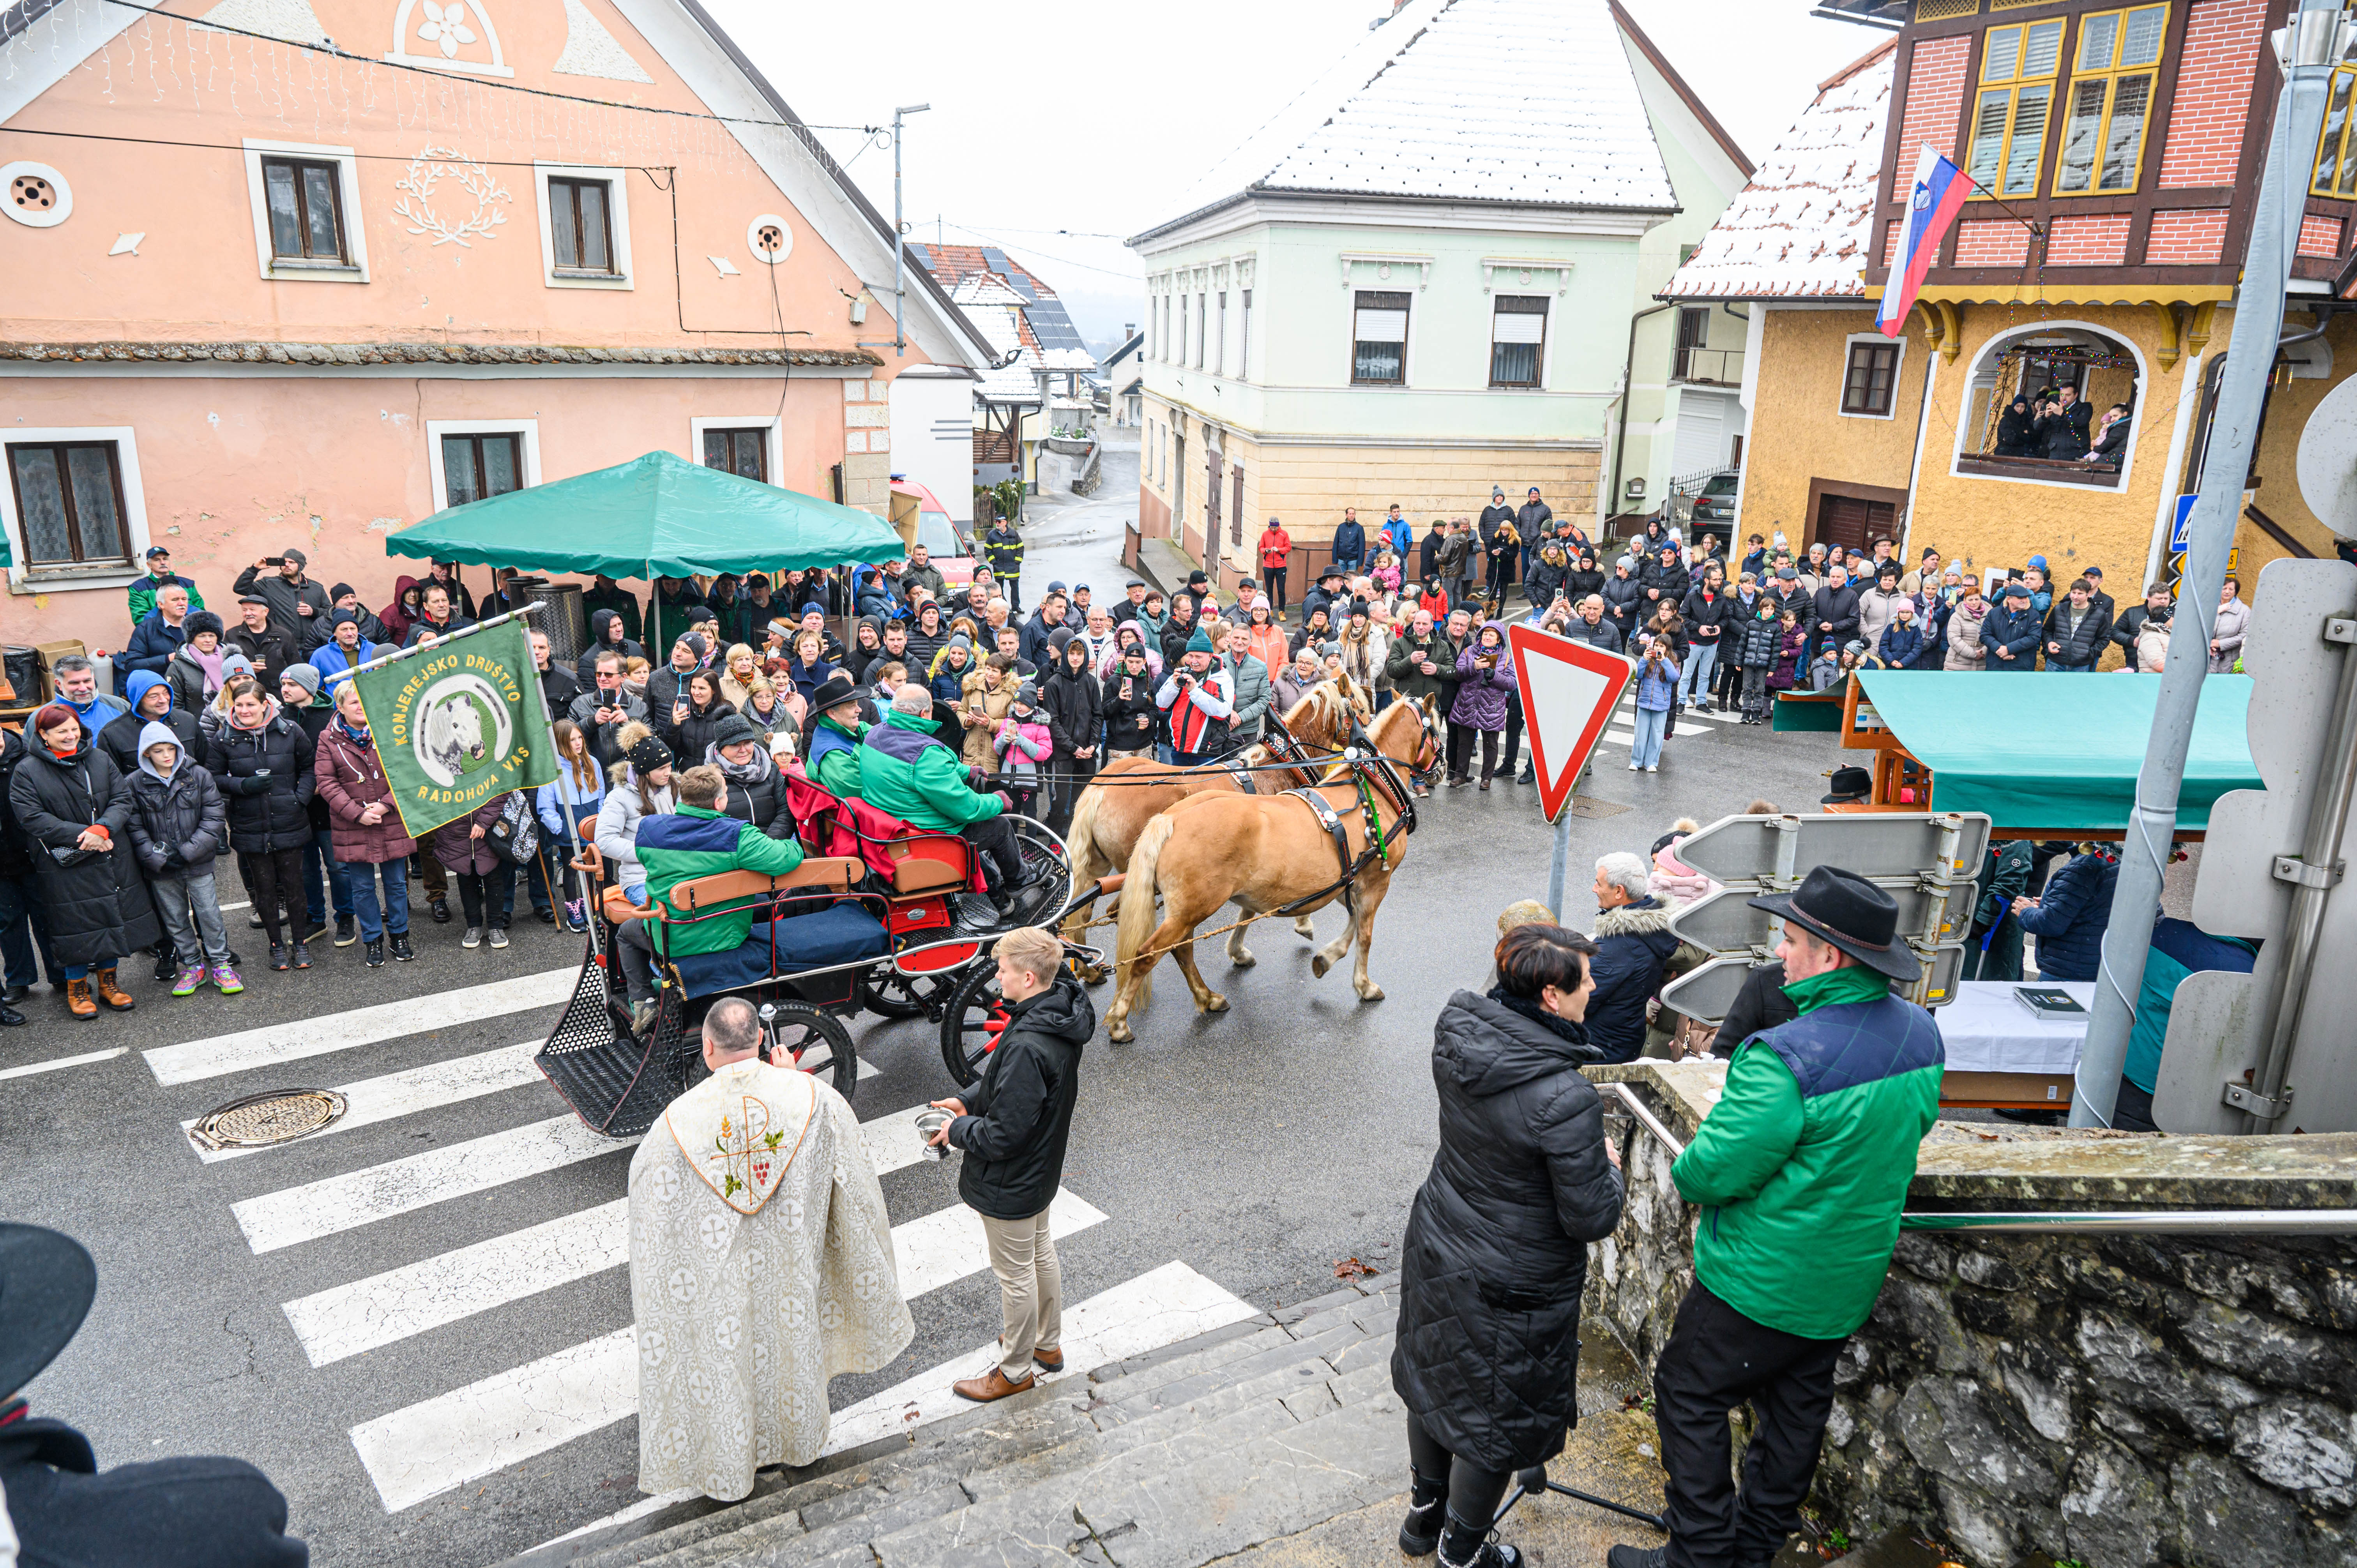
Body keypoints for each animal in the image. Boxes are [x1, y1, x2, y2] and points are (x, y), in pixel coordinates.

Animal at [1059, 679, 1369, 964]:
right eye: (1361, 710)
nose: (1369, 744)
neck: (1279, 766)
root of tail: (1101, 787)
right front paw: (1300, 925)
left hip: (1100, 862)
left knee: (1084, 912)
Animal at [1104, 694, 1440, 1043]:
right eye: (1436, 730)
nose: (1440, 768)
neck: (1374, 788)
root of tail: (1172, 818)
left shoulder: (1346, 880)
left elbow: (1351, 925)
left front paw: (1324, 958)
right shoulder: (1376, 882)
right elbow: (1365, 934)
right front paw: (1364, 986)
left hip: (1183, 909)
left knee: (1181, 951)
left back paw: (1207, 997)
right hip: (1192, 908)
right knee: (1148, 955)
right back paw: (1120, 1021)